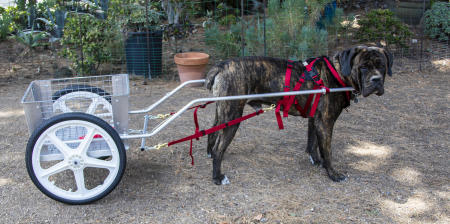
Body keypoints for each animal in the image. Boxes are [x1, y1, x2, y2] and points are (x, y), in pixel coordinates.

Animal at [206, 45, 392, 184]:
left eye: (382, 66)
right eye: (363, 67)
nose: (376, 80)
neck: (338, 73)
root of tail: (221, 66)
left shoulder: (315, 120)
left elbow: (313, 143)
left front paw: (316, 160)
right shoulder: (325, 122)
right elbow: (327, 151)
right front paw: (332, 173)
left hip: (223, 113)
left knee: (211, 133)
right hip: (232, 116)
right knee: (218, 147)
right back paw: (217, 177)